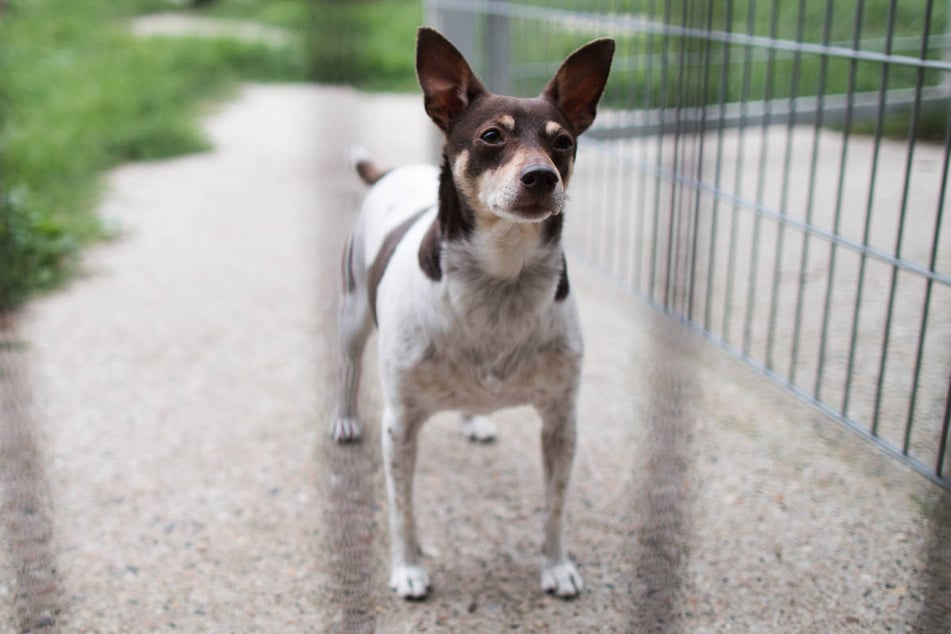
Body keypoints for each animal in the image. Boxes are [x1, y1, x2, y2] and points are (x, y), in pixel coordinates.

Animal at [332, 25, 616, 596]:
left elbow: (555, 507)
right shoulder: (400, 425)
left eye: (563, 142)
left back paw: (473, 419)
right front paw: (408, 569)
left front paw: (556, 566)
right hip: (352, 314)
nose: (542, 177)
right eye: (491, 137)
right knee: (348, 368)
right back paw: (346, 419)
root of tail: (391, 171)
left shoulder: (561, 423)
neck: (500, 282)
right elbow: (402, 510)